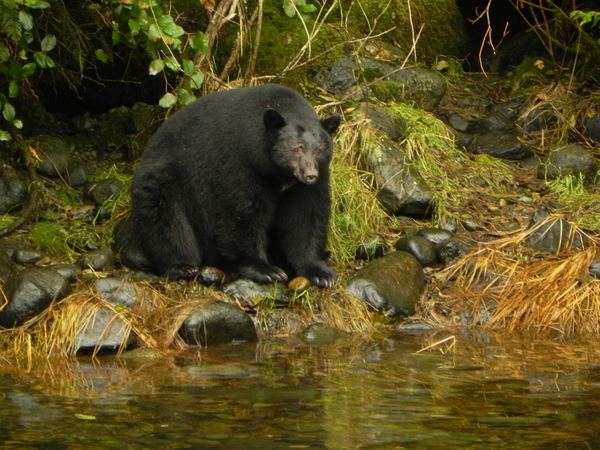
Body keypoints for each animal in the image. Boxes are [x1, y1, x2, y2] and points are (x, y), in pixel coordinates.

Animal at [118, 84, 342, 288]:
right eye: (297, 148)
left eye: (319, 150)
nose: (310, 175)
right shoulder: (240, 162)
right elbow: (241, 213)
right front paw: (265, 269)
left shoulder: (306, 185)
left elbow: (305, 217)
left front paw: (319, 272)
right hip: (165, 179)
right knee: (165, 220)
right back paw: (182, 266)